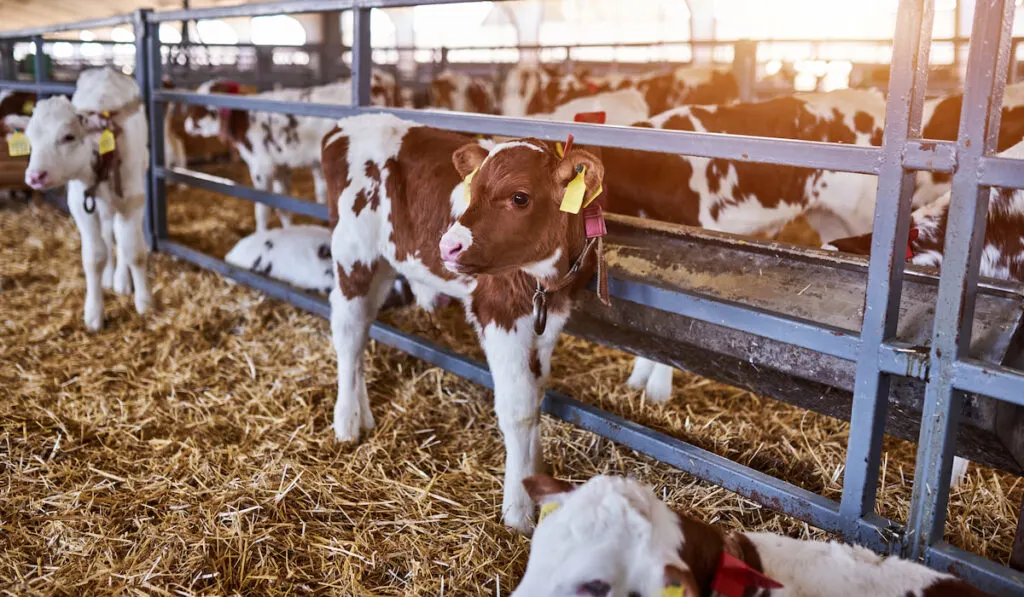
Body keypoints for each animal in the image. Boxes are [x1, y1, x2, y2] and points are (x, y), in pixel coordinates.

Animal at [4, 70, 149, 333]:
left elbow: (133, 250)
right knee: (107, 235)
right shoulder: (80, 203)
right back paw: (109, 276)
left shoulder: (133, 199)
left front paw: (145, 303)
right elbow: (94, 256)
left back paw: (121, 280)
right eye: (29, 139)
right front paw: (94, 313)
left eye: (68, 136)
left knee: (120, 235)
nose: (35, 176)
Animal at [321, 113, 606, 532]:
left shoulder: (549, 320)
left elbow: (536, 393)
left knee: (363, 329)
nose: (447, 246)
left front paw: (535, 474)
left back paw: (363, 415)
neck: (544, 283)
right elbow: (519, 407)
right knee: (348, 330)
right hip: (352, 253)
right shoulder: (499, 312)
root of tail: (346, 123)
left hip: (386, 261)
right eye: (472, 192)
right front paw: (518, 509)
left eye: (520, 197)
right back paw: (345, 422)